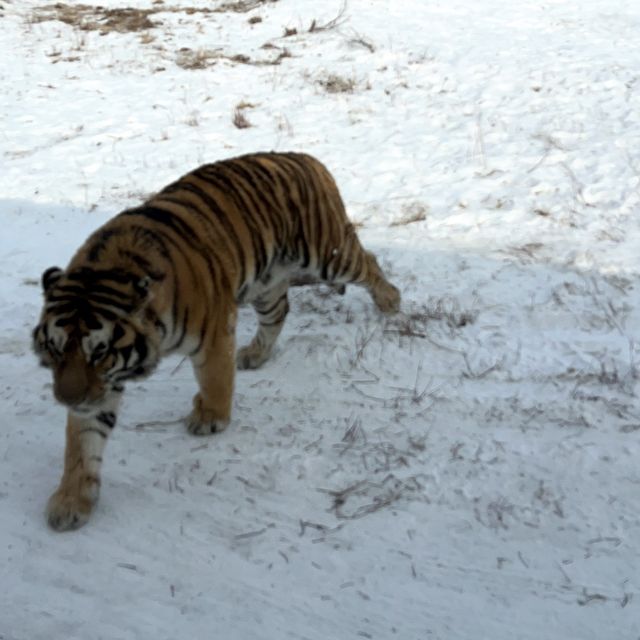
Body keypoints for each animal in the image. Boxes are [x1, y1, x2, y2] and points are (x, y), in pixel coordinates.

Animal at [32, 150, 400, 528]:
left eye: (100, 352)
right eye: (56, 350)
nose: (67, 399)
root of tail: (305, 157)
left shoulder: (213, 332)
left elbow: (215, 379)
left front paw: (209, 417)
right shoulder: (102, 386)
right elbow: (82, 442)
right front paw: (71, 501)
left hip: (327, 255)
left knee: (368, 262)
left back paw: (391, 301)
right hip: (265, 281)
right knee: (279, 310)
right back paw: (255, 355)